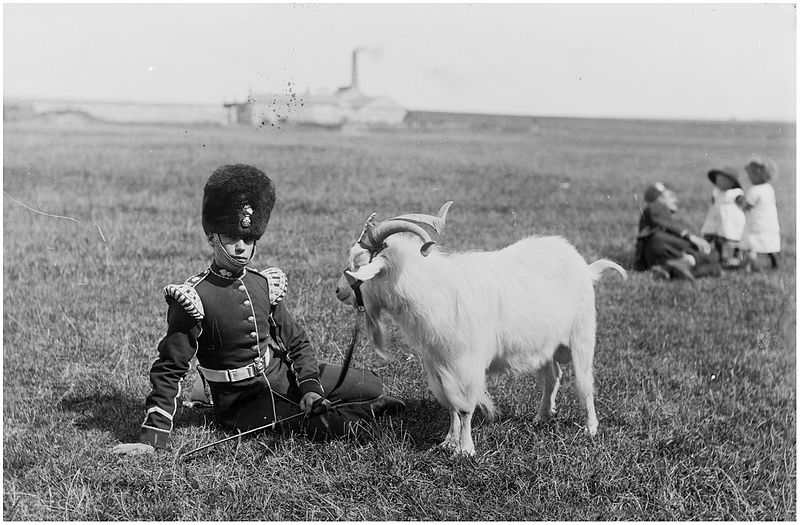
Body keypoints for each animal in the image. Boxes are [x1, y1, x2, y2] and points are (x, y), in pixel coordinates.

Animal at [334, 201, 628, 454]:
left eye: (357, 265)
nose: (338, 290)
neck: (431, 289)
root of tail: (586, 268)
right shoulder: (439, 362)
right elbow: (451, 405)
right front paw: (448, 443)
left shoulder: (465, 363)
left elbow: (464, 407)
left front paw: (465, 450)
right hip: (544, 345)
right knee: (552, 376)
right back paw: (542, 416)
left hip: (582, 336)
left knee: (584, 384)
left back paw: (590, 428)